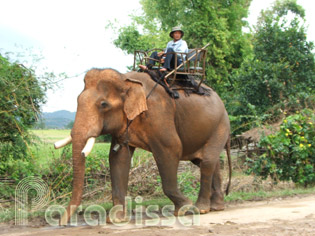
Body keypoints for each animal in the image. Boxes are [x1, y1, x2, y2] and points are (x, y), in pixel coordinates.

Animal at [54, 68, 232, 225]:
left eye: (103, 104)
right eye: (77, 100)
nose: (61, 223)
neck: (125, 80)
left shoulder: (159, 114)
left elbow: (171, 149)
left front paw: (185, 209)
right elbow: (118, 158)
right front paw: (116, 219)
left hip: (221, 125)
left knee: (207, 162)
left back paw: (201, 209)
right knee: (207, 162)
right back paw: (216, 207)